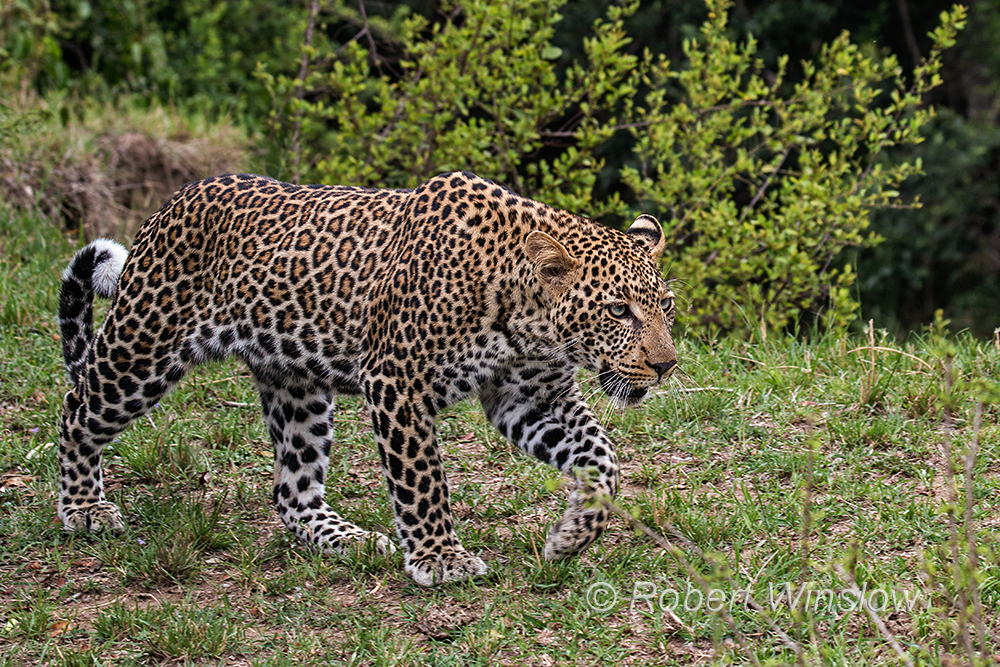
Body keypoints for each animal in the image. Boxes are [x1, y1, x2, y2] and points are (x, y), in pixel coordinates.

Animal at [56, 171, 677, 586]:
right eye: (618, 311)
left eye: (665, 305)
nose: (666, 364)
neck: (528, 317)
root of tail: (170, 203)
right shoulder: (398, 382)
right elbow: (422, 479)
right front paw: (440, 558)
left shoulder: (529, 398)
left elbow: (603, 458)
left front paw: (571, 536)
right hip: (143, 348)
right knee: (75, 408)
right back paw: (83, 509)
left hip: (296, 383)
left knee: (293, 489)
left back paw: (347, 540)